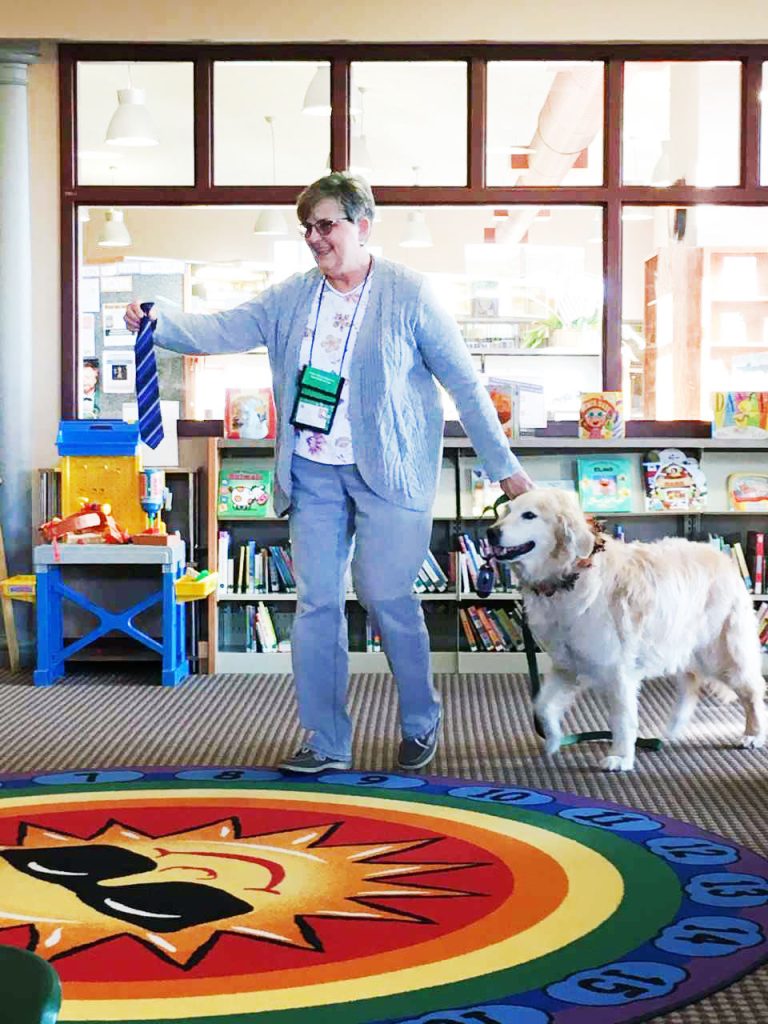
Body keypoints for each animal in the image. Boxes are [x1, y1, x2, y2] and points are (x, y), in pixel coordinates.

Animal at [486, 488, 767, 771]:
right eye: (506, 512)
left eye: (529, 515)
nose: (490, 532)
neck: (570, 575)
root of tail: (724, 559)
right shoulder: (567, 665)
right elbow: (542, 706)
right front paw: (554, 740)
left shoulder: (616, 669)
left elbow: (621, 719)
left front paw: (620, 757)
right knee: (691, 686)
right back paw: (673, 730)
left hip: (720, 653)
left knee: (752, 691)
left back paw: (753, 735)